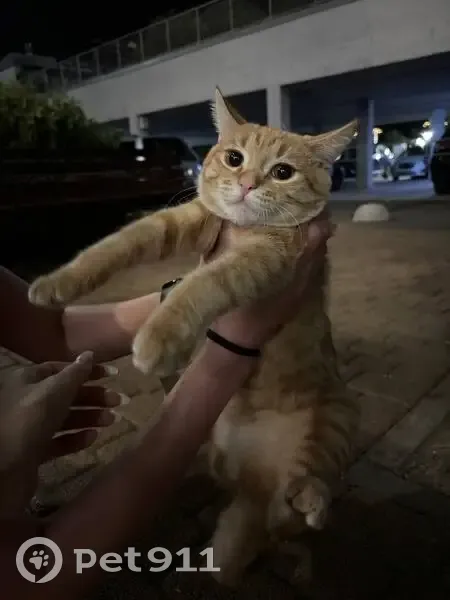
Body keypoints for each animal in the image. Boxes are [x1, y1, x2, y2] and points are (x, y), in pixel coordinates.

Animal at [29, 88, 360, 586]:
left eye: (283, 172)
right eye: (234, 157)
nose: (247, 184)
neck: (242, 227)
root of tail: (259, 486)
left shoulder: (264, 258)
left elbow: (201, 286)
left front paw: (158, 338)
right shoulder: (184, 221)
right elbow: (116, 245)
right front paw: (56, 283)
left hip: (336, 420)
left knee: (303, 491)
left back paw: (309, 505)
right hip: (226, 465)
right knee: (258, 528)